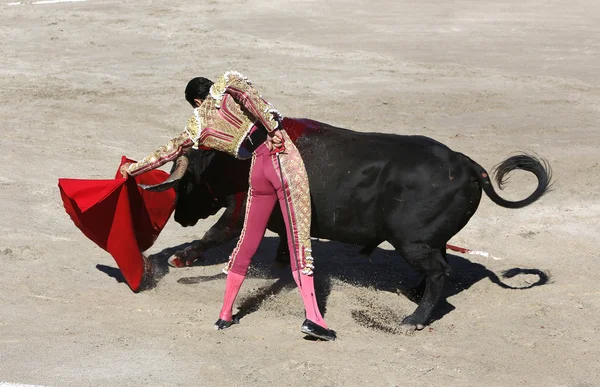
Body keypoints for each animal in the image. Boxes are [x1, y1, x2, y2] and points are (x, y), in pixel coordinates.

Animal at [156, 118, 552, 334]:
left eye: (184, 182)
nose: (179, 217)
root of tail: (466, 164)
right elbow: (285, 234)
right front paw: (285, 258)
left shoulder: (242, 207)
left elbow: (217, 233)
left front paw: (182, 257)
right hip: (426, 241)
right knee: (439, 264)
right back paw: (414, 293)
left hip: (411, 242)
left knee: (440, 270)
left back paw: (415, 317)